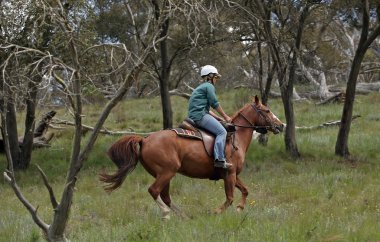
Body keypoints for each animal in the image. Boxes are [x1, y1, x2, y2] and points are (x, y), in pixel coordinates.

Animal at [99, 95, 284, 218]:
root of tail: (144, 139)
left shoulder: (232, 175)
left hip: (164, 174)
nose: (281, 125)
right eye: (267, 110)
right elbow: (230, 197)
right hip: (167, 172)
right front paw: (217, 211)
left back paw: (184, 217)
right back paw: (167, 214)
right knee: (154, 191)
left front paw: (240, 208)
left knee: (165, 196)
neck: (236, 136)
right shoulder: (230, 174)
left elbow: (245, 190)